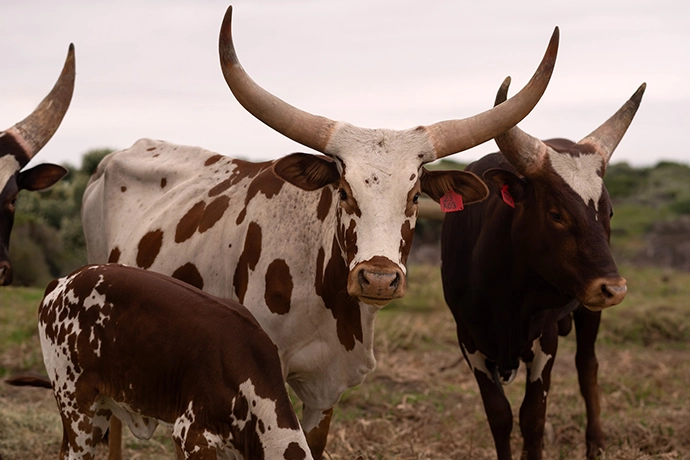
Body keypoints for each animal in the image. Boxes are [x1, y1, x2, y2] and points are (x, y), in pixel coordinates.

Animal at [440, 77, 645, 460]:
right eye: (556, 214)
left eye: (608, 212)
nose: (614, 288)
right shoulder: (468, 340)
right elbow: (500, 416)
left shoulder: (544, 340)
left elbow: (532, 417)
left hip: (588, 311)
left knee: (587, 366)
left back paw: (595, 443)